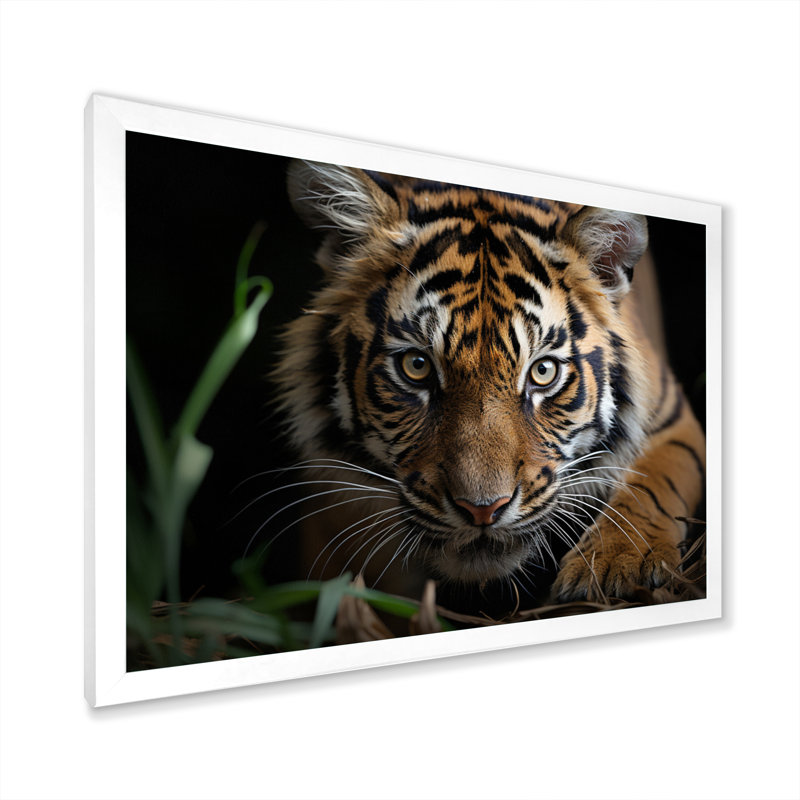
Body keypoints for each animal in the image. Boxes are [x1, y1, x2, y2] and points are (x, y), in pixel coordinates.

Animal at [272, 159, 706, 608]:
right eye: (416, 366)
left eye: (542, 372)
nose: (483, 509)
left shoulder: (671, 419)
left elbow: (650, 488)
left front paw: (617, 566)